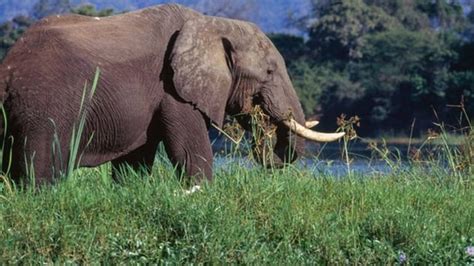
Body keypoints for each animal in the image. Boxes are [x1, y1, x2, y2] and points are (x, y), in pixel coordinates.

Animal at [0, 4, 342, 187]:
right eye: (269, 72)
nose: (263, 126)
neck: (211, 23)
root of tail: (7, 68)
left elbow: (136, 160)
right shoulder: (172, 89)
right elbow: (191, 153)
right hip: (44, 109)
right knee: (40, 170)